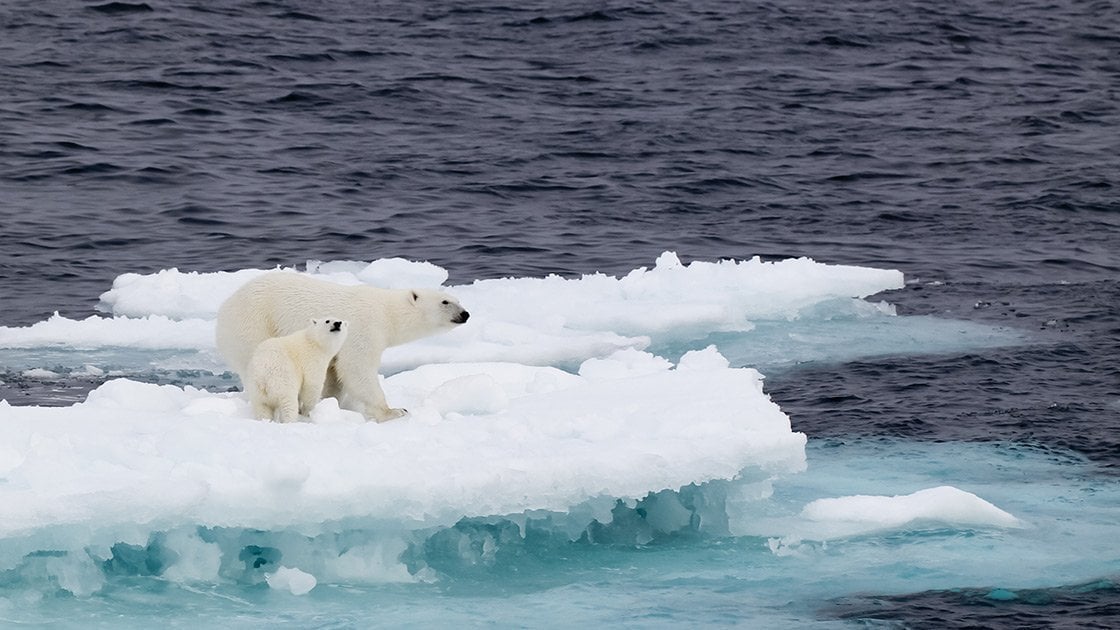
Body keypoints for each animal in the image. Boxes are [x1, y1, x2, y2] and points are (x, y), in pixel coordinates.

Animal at [215, 271, 469, 422]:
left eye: (458, 300)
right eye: (445, 302)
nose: (465, 314)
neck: (387, 313)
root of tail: (225, 307)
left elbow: (334, 374)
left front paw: (332, 403)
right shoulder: (364, 330)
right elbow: (357, 369)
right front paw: (394, 411)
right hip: (254, 323)